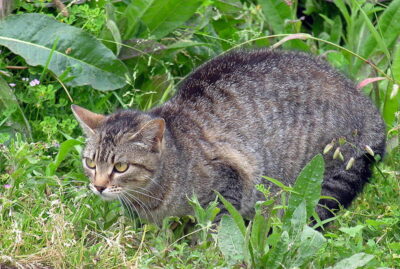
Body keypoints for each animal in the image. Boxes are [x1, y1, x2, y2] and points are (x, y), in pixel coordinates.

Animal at [72, 48, 384, 224]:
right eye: (91, 163)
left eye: (121, 166)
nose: (98, 186)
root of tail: (371, 111)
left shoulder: (230, 182)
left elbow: (216, 231)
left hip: (320, 179)